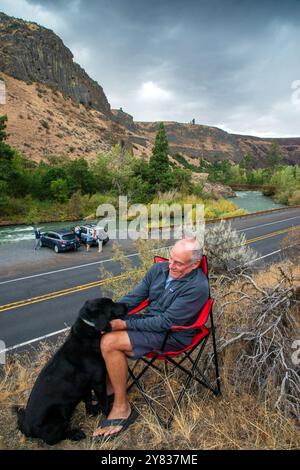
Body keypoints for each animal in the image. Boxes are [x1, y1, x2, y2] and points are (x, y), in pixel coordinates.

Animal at [14, 298, 127, 444]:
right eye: (111, 304)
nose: (127, 304)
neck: (88, 334)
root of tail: (27, 428)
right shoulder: (98, 382)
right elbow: (103, 402)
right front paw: (109, 417)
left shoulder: (86, 386)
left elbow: (88, 402)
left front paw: (93, 411)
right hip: (60, 412)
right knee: (53, 439)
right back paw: (75, 434)